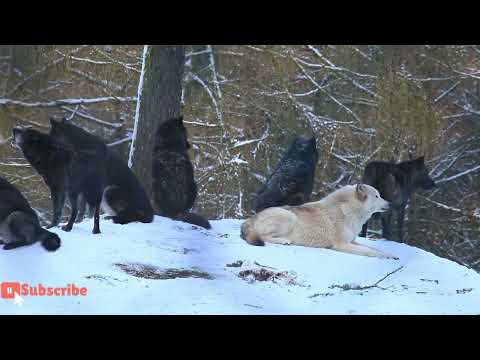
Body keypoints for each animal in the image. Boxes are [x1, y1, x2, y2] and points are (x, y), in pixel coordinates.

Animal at [242, 183, 400, 258]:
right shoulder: (342, 244)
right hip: (289, 217)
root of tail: (250, 218)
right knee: (263, 237)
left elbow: (375, 249)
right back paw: (284, 241)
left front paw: (392, 255)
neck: (349, 211)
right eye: (377, 196)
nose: (390, 204)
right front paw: (385, 257)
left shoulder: (353, 241)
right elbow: (370, 251)